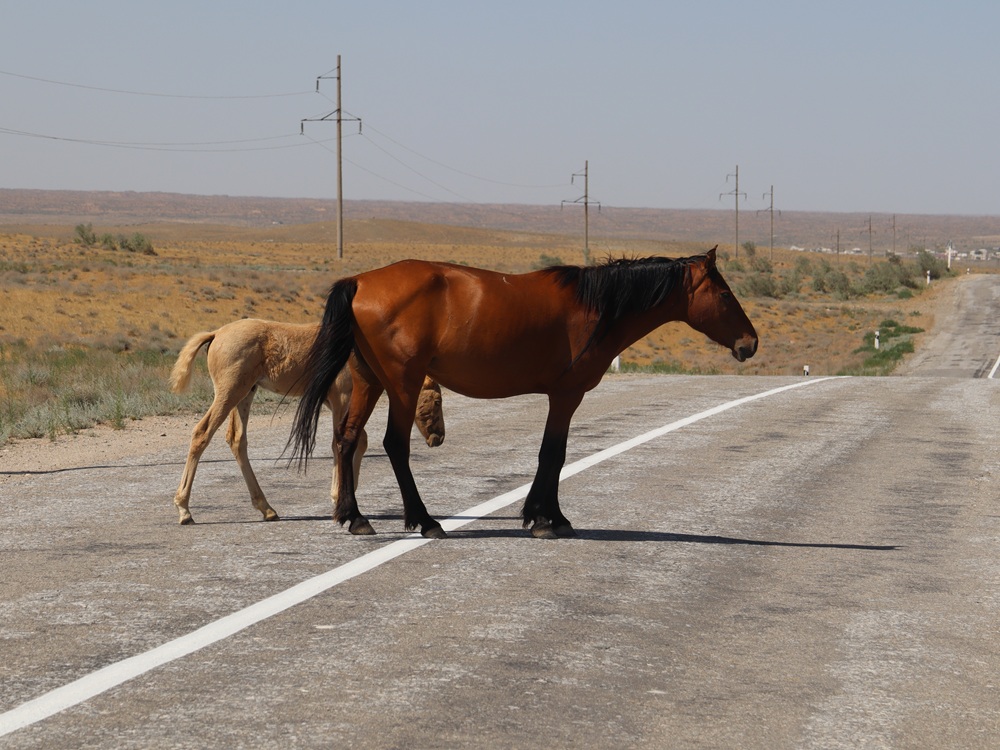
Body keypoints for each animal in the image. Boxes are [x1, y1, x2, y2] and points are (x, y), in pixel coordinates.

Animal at [169, 318, 445, 525]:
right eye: (438, 401)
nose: (439, 438)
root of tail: (216, 334)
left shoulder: (331, 401)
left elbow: (358, 440)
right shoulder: (341, 397)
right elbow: (342, 441)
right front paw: (339, 498)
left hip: (245, 393)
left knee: (237, 440)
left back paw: (266, 508)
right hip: (230, 391)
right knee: (202, 433)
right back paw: (184, 510)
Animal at [290, 247, 757, 539]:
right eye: (724, 292)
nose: (749, 343)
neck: (596, 306)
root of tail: (359, 281)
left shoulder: (562, 398)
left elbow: (554, 453)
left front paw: (547, 516)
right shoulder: (566, 396)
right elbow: (553, 454)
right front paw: (545, 519)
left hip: (368, 381)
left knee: (346, 439)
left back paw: (354, 518)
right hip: (402, 384)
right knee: (394, 445)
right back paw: (425, 521)